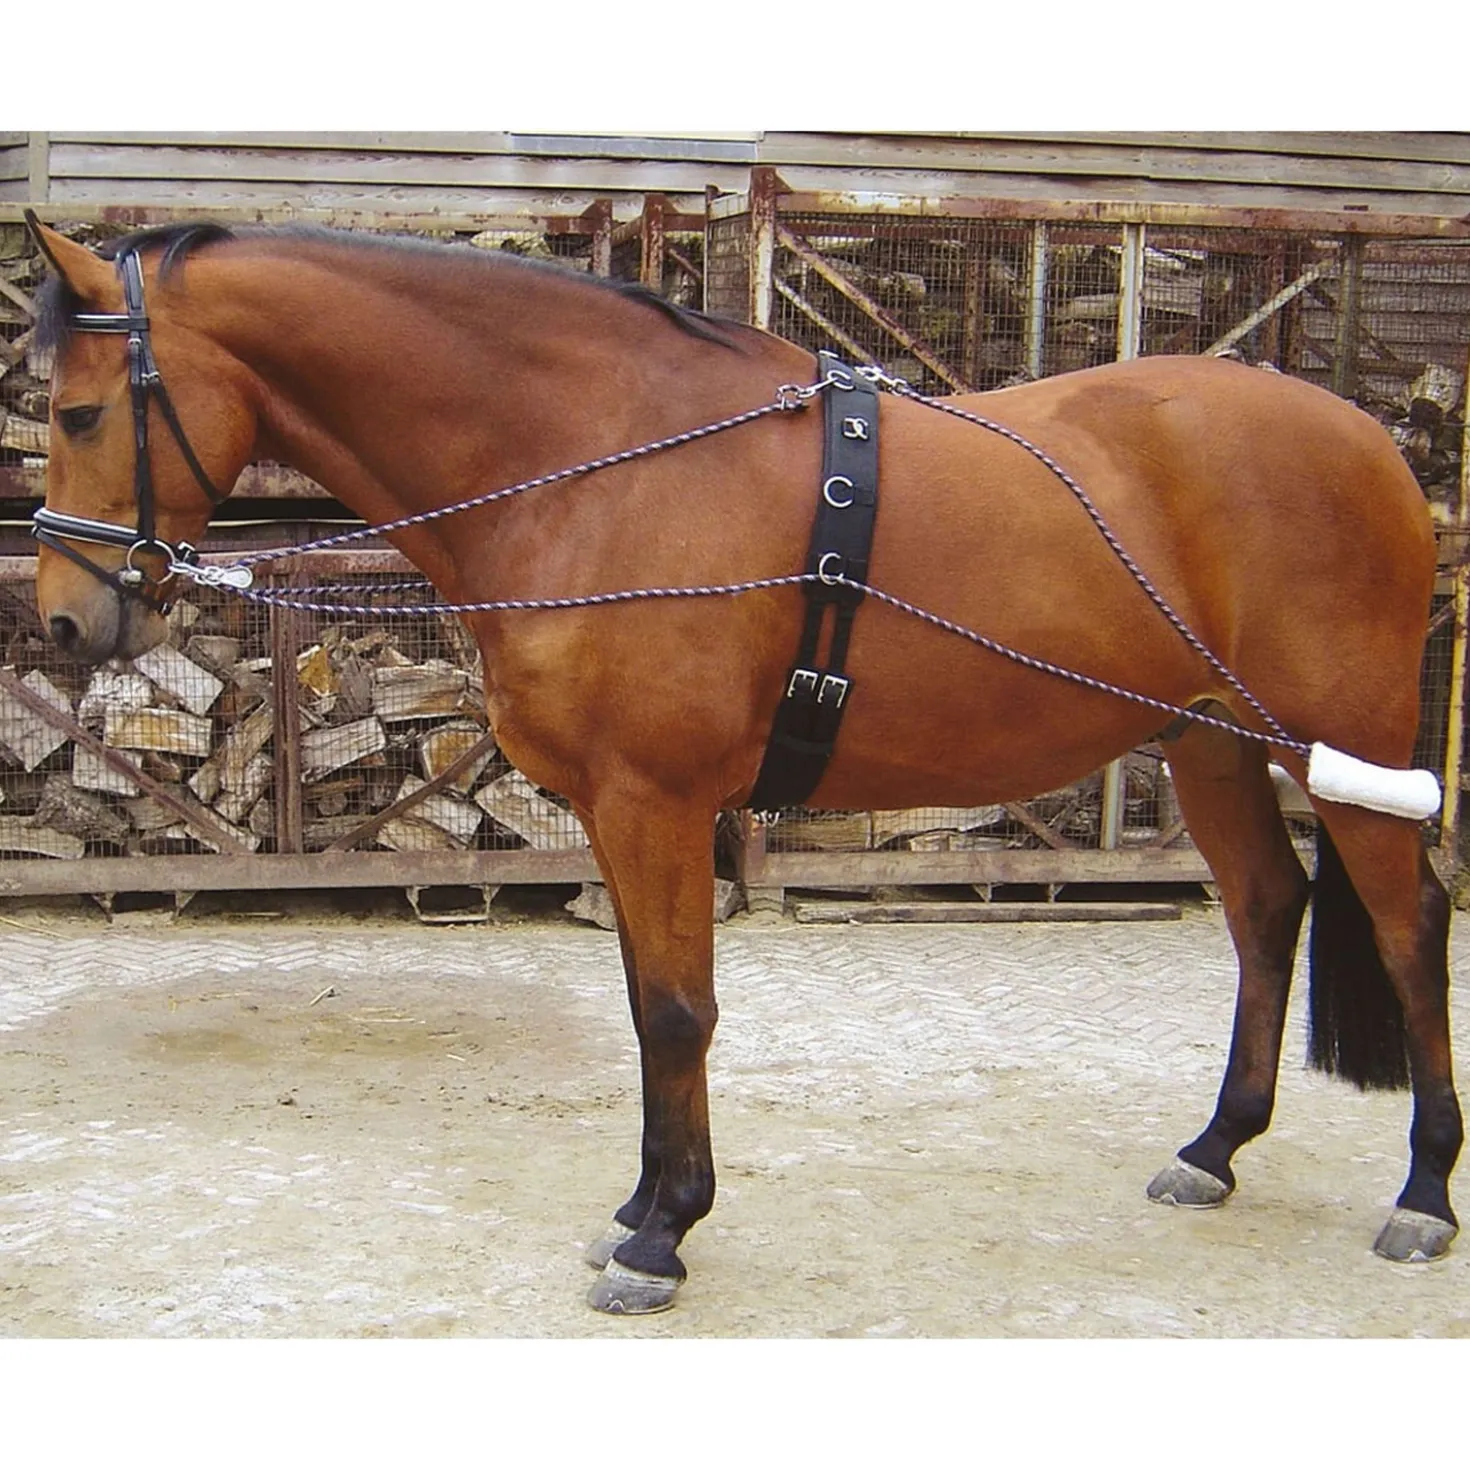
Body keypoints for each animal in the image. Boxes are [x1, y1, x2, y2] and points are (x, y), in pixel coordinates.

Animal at [24, 216, 1461, 1315]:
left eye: (82, 411)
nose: (62, 621)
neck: (590, 465)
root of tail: (1373, 447)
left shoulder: (657, 802)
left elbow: (675, 1011)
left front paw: (663, 1237)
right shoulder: (616, 812)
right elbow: (645, 1001)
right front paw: (639, 1205)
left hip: (1338, 746)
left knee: (1408, 924)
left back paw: (1421, 1192)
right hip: (1209, 741)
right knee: (1267, 910)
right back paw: (1215, 1147)